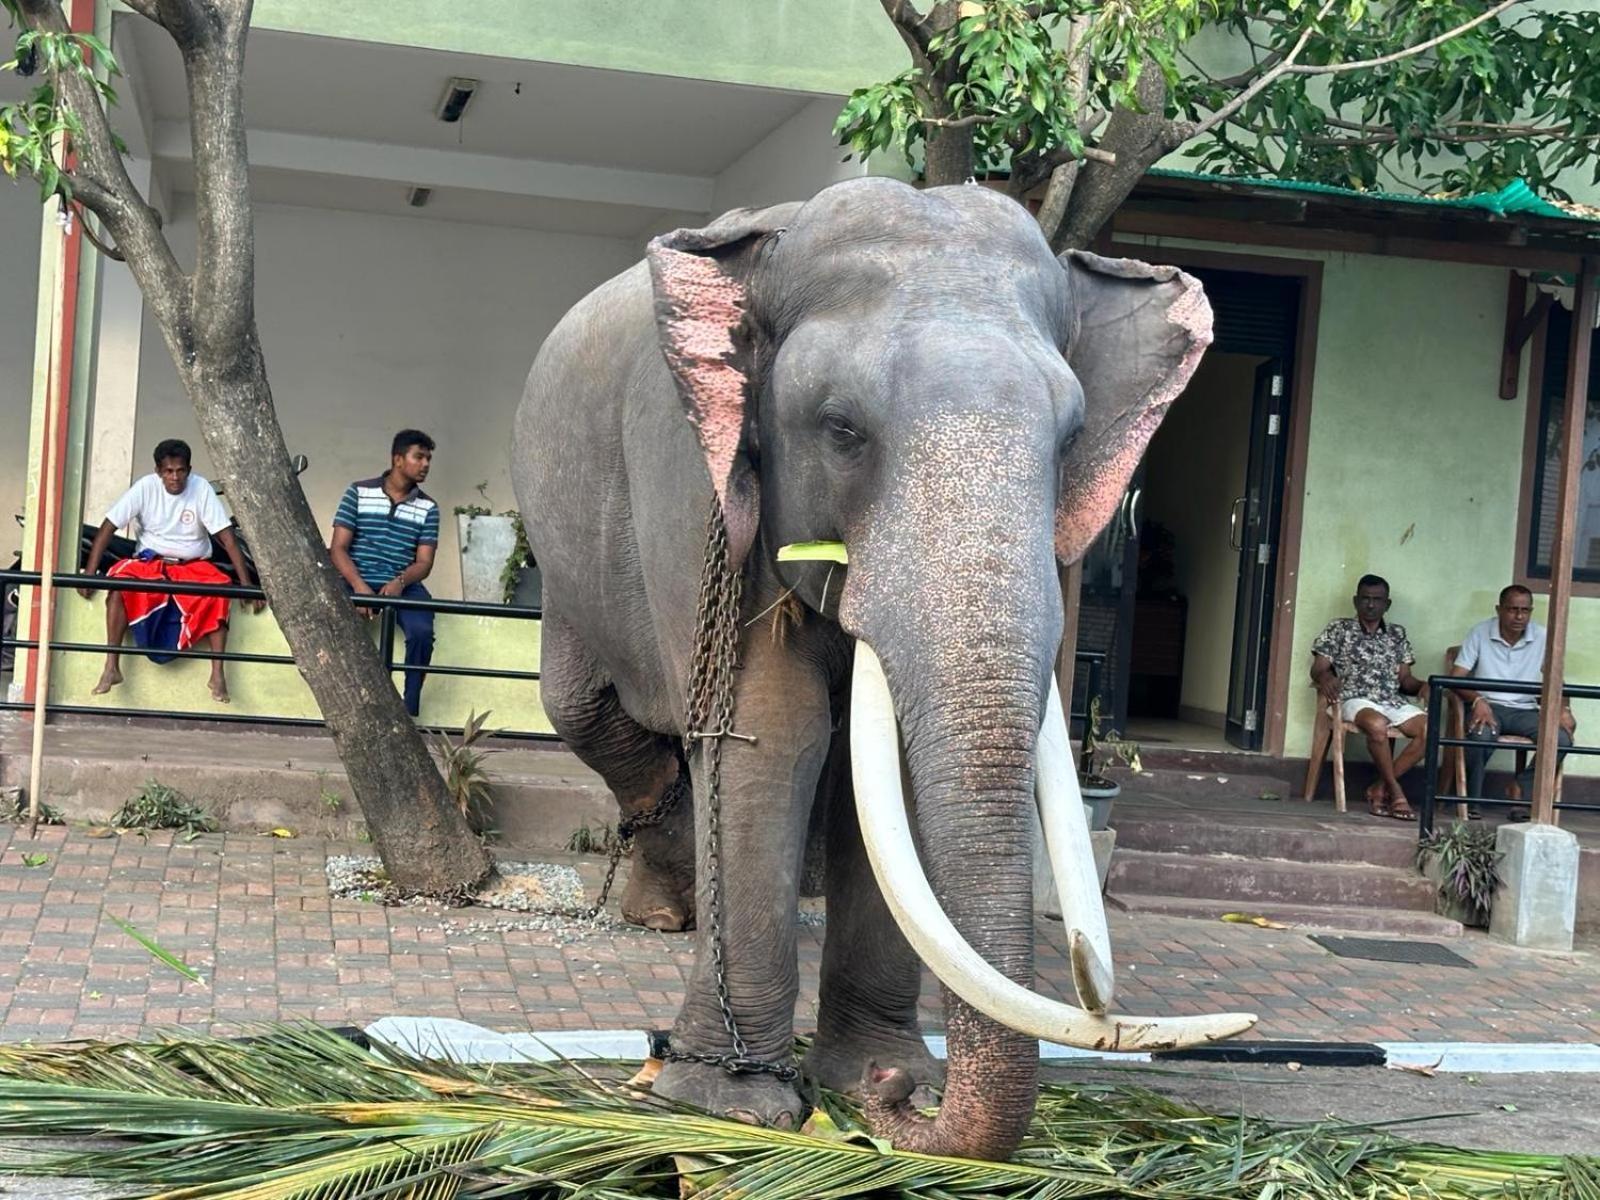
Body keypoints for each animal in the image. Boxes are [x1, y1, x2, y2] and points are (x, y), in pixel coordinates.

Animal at [512, 178, 1248, 1164]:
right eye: (841, 429)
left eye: (1071, 439)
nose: (902, 1102)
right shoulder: (691, 482)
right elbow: (770, 735)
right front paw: (732, 1103)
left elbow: (879, 774)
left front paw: (869, 1082)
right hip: (565, 559)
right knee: (587, 710)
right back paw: (667, 913)